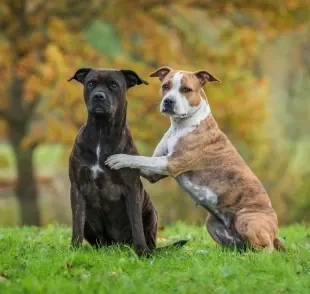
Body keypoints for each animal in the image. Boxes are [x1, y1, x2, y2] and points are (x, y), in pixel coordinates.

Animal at [68, 68, 186, 256]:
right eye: (91, 83)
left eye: (114, 85)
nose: (99, 96)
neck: (102, 132)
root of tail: (116, 245)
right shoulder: (77, 186)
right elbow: (77, 223)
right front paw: (74, 250)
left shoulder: (131, 189)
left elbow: (136, 224)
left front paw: (142, 252)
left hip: (151, 212)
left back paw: (148, 250)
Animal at [105, 67, 286, 253]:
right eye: (165, 86)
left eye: (186, 89)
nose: (168, 101)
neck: (180, 126)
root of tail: (274, 232)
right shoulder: (153, 173)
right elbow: (142, 161)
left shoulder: (171, 163)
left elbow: (139, 159)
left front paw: (119, 158)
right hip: (212, 223)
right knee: (238, 247)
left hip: (247, 220)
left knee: (266, 250)